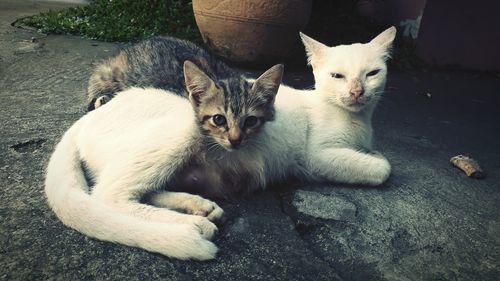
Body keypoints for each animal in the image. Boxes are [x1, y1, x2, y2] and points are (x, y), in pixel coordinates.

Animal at [45, 27, 394, 260]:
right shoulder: (315, 158)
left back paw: (198, 207)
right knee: (108, 195)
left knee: (138, 190)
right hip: (183, 130)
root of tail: (87, 119)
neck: (358, 121)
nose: (357, 92)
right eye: (337, 76)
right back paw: (192, 226)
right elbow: (383, 168)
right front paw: (376, 159)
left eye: (372, 74)